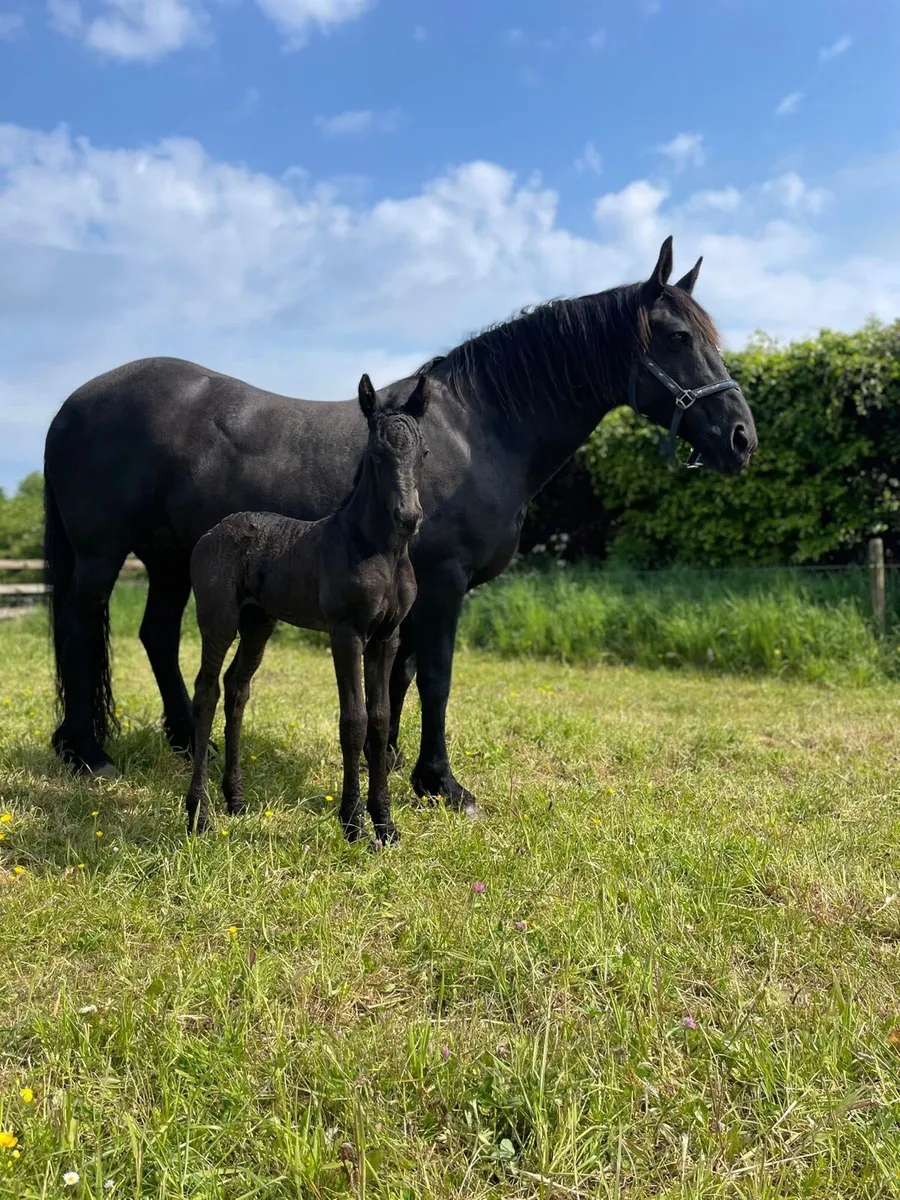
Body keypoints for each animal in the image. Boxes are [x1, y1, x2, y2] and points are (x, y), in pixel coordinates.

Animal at [184, 372, 428, 843]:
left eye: (423, 452)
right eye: (376, 455)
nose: (409, 517)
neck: (380, 551)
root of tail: (210, 533)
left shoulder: (386, 638)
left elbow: (380, 720)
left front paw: (385, 825)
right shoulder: (346, 633)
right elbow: (353, 721)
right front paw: (353, 825)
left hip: (258, 622)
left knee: (236, 688)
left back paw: (235, 799)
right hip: (219, 620)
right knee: (206, 690)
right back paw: (198, 814)